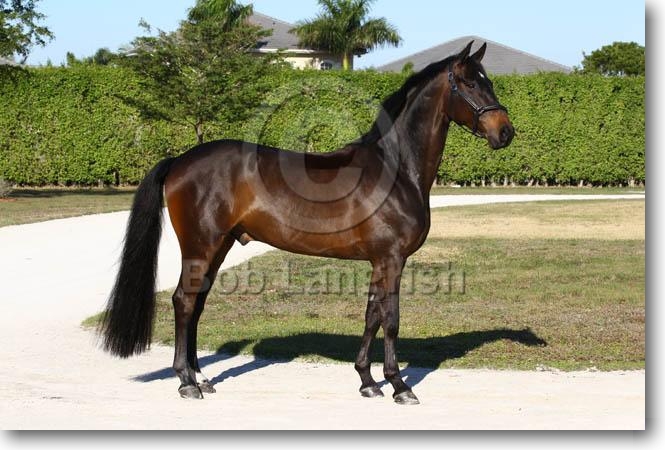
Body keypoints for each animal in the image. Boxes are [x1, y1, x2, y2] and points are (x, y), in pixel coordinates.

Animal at [101, 41, 514, 404]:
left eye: (489, 81)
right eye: (470, 83)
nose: (505, 132)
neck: (396, 170)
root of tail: (180, 160)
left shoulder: (378, 261)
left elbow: (371, 316)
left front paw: (367, 382)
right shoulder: (392, 259)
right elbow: (391, 319)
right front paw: (399, 386)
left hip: (220, 246)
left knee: (197, 304)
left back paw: (201, 378)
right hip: (201, 245)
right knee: (184, 302)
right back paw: (186, 383)